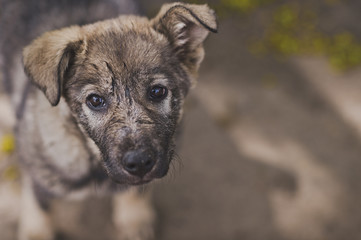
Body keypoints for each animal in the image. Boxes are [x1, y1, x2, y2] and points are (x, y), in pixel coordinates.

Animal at [16, 2, 215, 240]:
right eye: (95, 100)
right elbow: (40, 205)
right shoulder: (38, 172)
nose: (139, 163)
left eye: (158, 91)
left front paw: (134, 217)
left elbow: (135, 189)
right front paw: (37, 231)